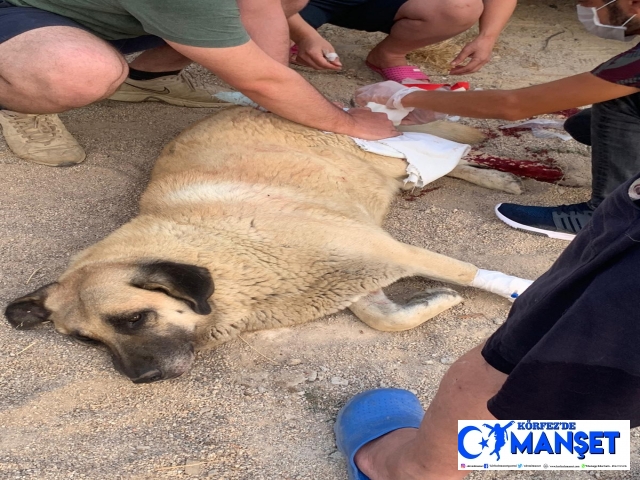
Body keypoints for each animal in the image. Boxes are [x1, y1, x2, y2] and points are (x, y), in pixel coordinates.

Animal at [3, 108, 528, 382]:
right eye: (87, 341)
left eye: (134, 320)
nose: (141, 380)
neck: (220, 247)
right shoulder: (355, 273)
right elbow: (384, 316)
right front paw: (434, 301)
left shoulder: (385, 249)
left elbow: (471, 273)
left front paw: (520, 290)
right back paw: (493, 176)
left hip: (383, 156)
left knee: (442, 147)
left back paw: (491, 173)